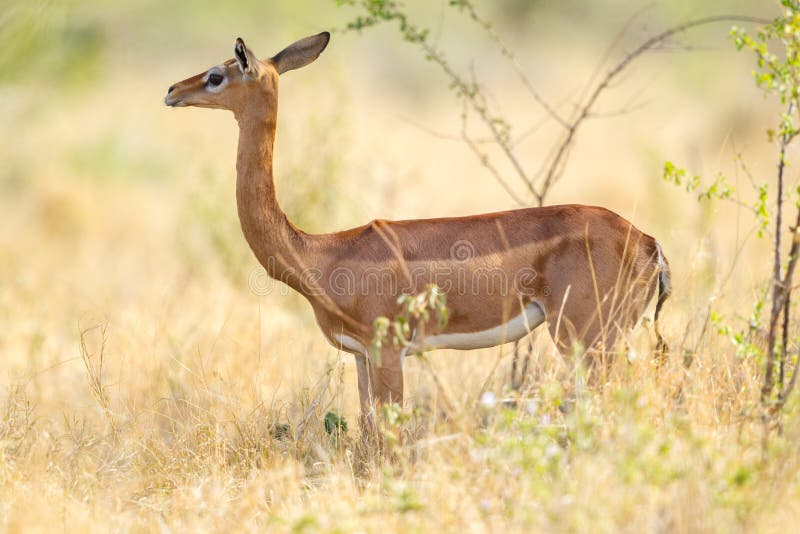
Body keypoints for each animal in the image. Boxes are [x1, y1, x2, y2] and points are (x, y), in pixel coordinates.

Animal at [166, 33, 672, 414]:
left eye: (217, 74)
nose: (172, 91)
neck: (319, 253)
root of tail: (648, 243)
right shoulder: (360, 356)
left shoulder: (389, 351)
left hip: (588, 339)